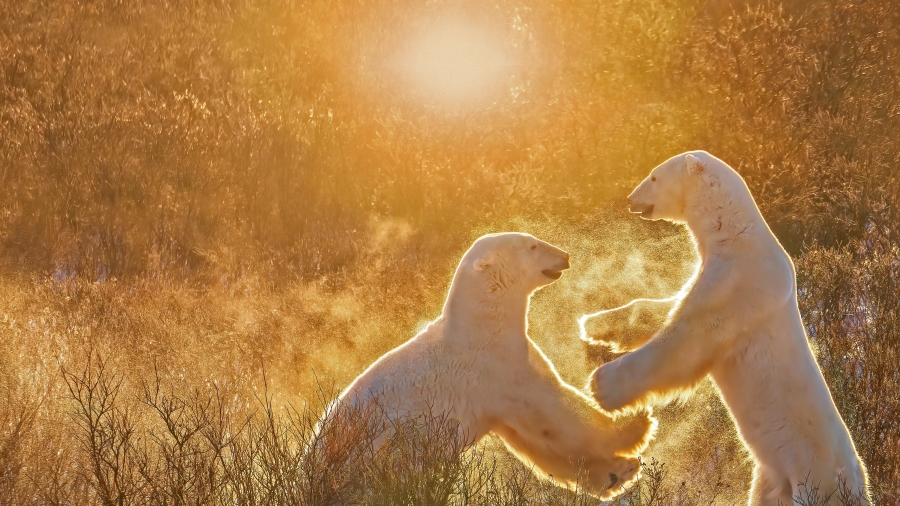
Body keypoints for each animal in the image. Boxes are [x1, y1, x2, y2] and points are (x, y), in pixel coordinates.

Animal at [335, 232, 655, 499]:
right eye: (533, 245)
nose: (565, 255)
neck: (481, 324)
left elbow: (536, 441)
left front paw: (617, 473)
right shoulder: (498, 367)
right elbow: (556, 411)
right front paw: (636, 424)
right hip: (379, 456)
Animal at [586, 151, 869, 505]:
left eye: (653, 176)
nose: (630, 199)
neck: (736, 234)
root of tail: (857, 484)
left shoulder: (735, 286)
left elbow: (684, 343)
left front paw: (600, 385)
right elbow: (665, 308)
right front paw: (595, 324)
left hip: (814, 477)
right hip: (773, 476)